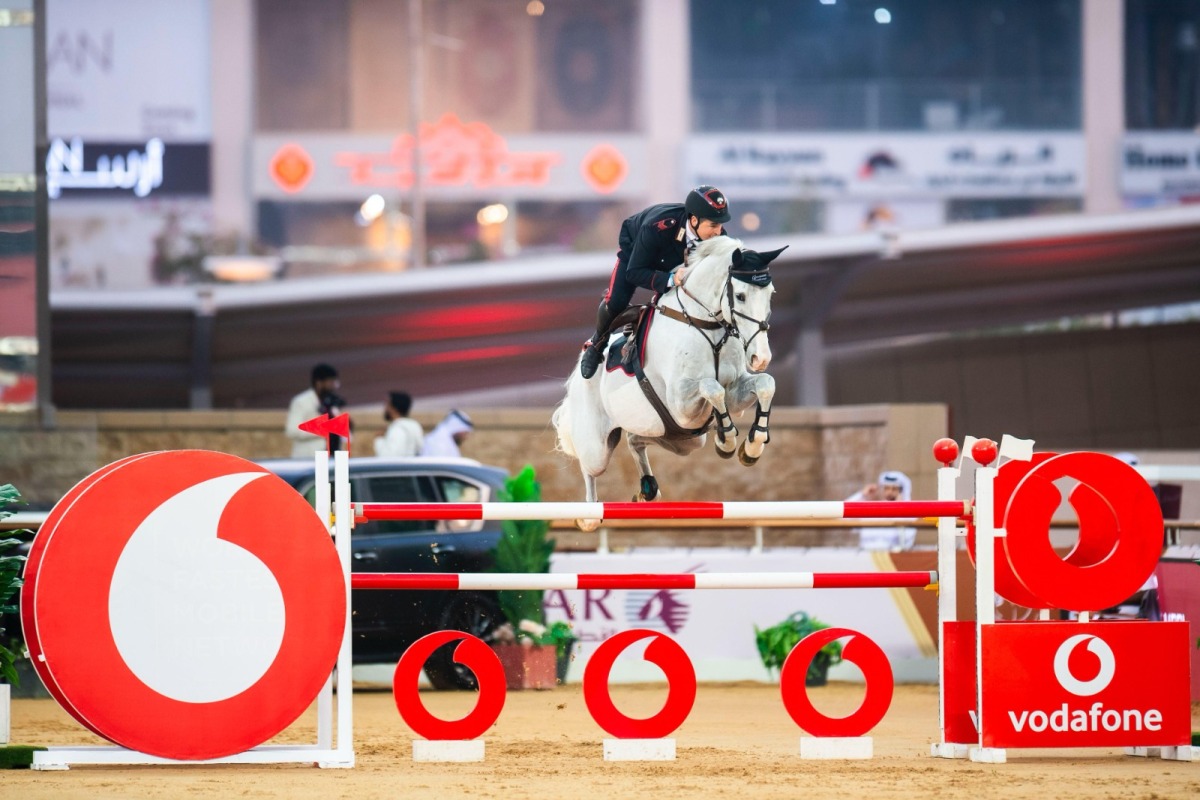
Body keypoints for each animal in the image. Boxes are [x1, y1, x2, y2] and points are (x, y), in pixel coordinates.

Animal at [549, 236, 782, 525]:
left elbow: (765, 384)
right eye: (740, 296)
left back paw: (647, 489)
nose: (761, 358)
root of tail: (576, 377)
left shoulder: (731, 395)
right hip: (598, 447)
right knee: (589, 466)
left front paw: (752, 446)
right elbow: (711, 387)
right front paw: (726, 441)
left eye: (770, 293)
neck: (706, 326)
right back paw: (588, 516)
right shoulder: (681, 405)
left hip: (682, 438)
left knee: (635, 440)